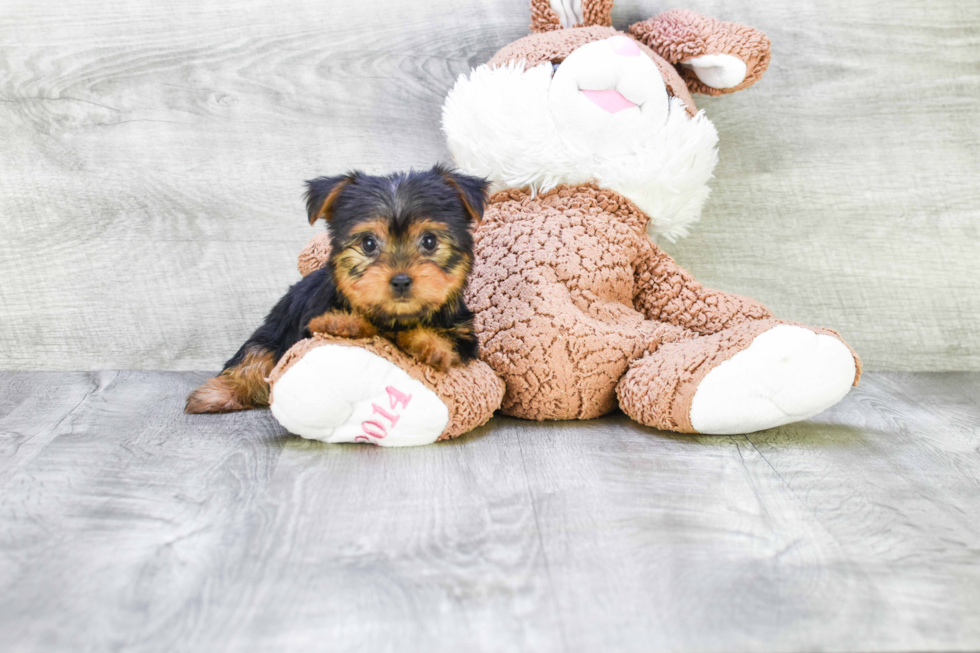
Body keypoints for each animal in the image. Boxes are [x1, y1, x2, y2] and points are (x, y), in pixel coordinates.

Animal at [185, 166, 490, 416]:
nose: (401, 280)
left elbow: (447, 340)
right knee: (254, 357)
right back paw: (213, 395)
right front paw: (342, 322)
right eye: (368, 243)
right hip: (274, 329)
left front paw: (430, 344)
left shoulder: (464, 334)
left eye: (429, 241)